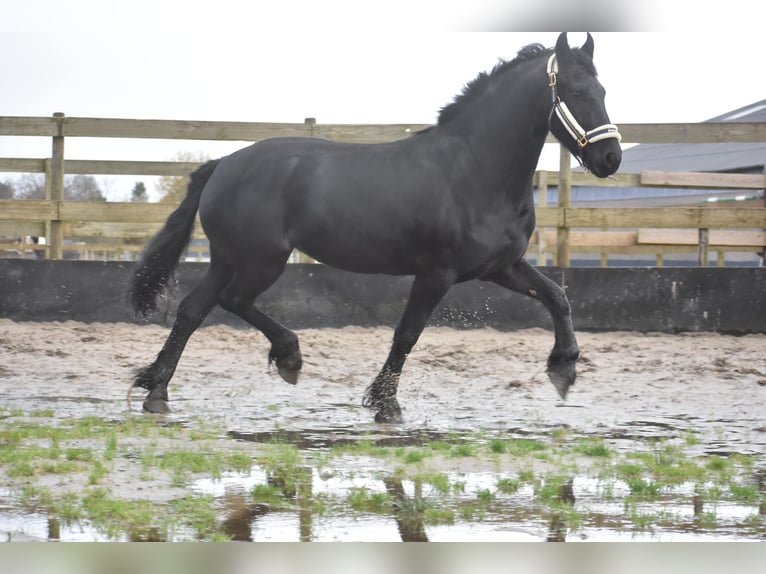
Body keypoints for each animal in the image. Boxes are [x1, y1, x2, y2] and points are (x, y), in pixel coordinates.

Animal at [129, 33, 624, 426]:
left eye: (603, 89)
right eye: (577, 90)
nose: (610, 159)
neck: (474, 169)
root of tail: (223, 165)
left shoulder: (501, 267)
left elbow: (557, 297)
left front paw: (564, 370)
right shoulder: (437, 274)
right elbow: (406, 335)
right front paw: (386, 405)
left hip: (227, 260)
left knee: (192, 311)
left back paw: (157, 392)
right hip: (260, 261)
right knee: (234, 302)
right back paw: (289, 357)